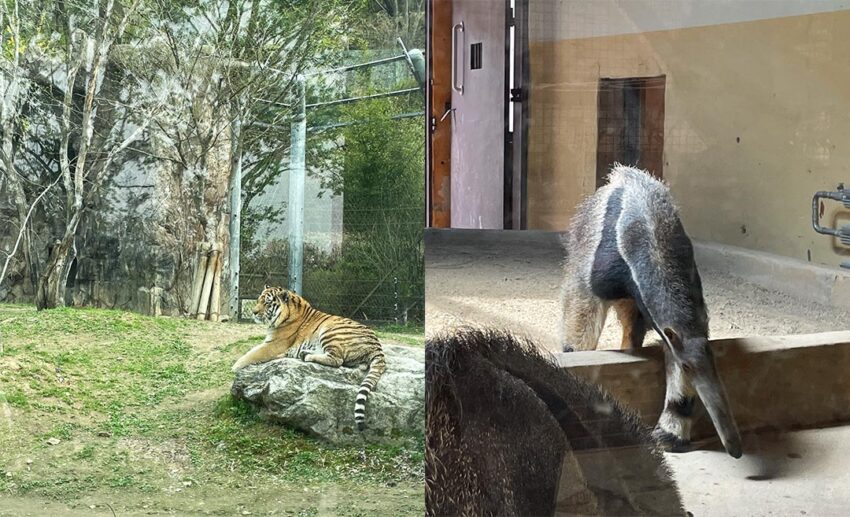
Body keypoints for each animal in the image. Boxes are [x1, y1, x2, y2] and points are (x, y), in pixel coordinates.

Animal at [232, 285, 387, 431]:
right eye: (258, 300)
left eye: (267, 302)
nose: (254, 312)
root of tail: (377, 346)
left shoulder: (274, 345)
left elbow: (252, 353)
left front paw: (234, 367)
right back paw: (304, 353)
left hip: (329, 330)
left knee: (337, 360)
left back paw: (307, 356)